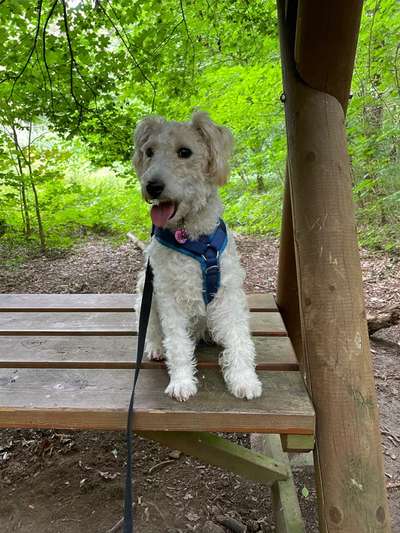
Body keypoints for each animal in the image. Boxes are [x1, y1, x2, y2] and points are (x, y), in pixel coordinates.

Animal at [133, 113, 260, 404]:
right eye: (149, 152)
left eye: (185, 152)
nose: (152, 186)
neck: (192, 236)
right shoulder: (168, 295)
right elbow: (177, 343)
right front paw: (181, 382)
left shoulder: (229, 292)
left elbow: (239, 339)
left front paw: (244, 379)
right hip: (145, 293)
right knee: (153, 329)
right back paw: (155, 347)